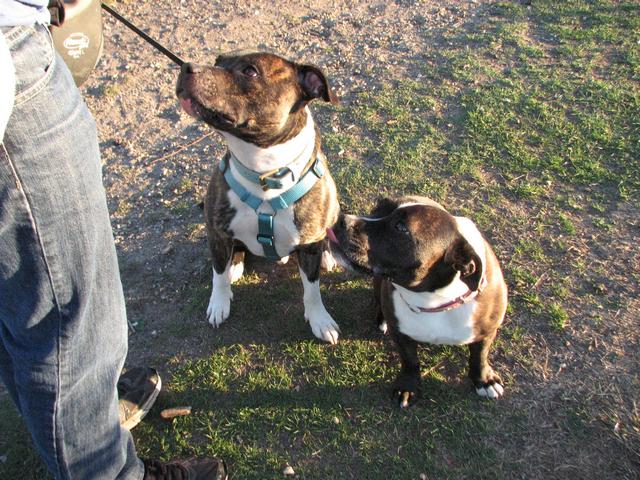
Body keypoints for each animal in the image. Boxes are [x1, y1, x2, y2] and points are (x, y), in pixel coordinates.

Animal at [328, 197, 508, 406]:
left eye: (400, 227)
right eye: (377, 209)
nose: (341, 218)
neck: (434, 298)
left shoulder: (487, 331)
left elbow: (480, 356)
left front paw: (484, 380)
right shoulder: (401, 333)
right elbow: (410, 361)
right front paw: (408, 385)